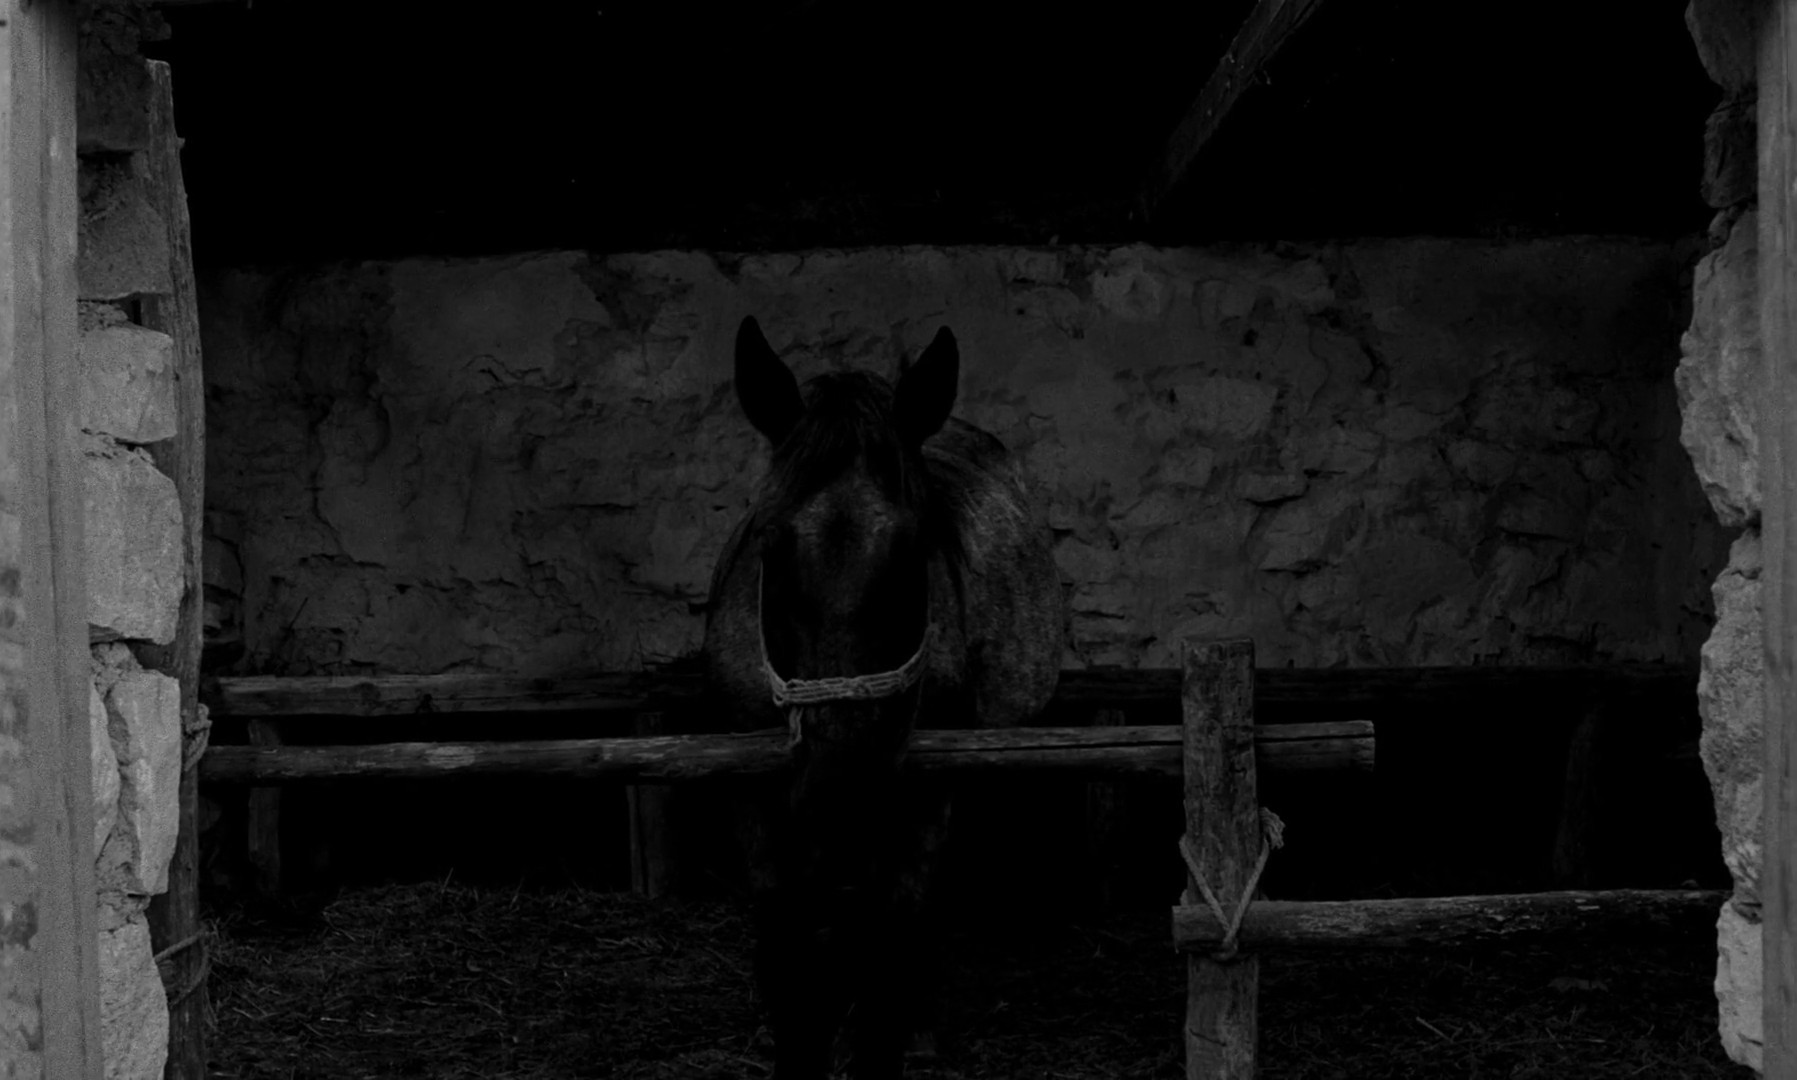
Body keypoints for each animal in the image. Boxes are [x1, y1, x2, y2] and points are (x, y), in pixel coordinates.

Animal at [703, 316, 1065, 1078]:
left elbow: (889, 958)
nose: (842, 791)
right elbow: (789, 968)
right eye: (769, 543)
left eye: (916, 548)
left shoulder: (918, 804)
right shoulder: (756, 806)